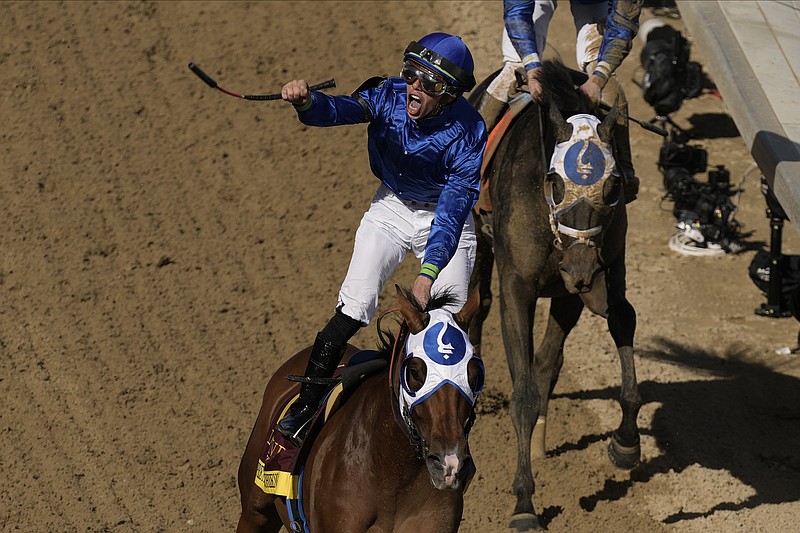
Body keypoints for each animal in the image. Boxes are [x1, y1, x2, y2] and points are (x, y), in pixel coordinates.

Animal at [468, 61, 644, 528]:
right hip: (477, 239)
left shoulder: (598, 273)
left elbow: (622, 318)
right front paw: (524, 503)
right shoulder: (517, 287)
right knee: (476, 306)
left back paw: (541, 443)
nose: (581, 268)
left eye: (612, 185)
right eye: (554, 181)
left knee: (549, 360)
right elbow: (524, 392)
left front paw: (626, 442)